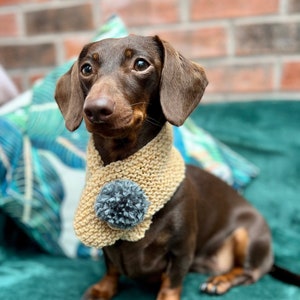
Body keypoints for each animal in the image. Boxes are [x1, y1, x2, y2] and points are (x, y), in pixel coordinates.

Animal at [54, 34, 300, 298]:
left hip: (248, 235)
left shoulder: (182, 250)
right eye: (86, 68)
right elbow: (110, 267)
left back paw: (220, 280)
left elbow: (171, 282)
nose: (95, 109)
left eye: (141, 64)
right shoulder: (109, 251)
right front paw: (102, 289)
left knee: (249, 272)